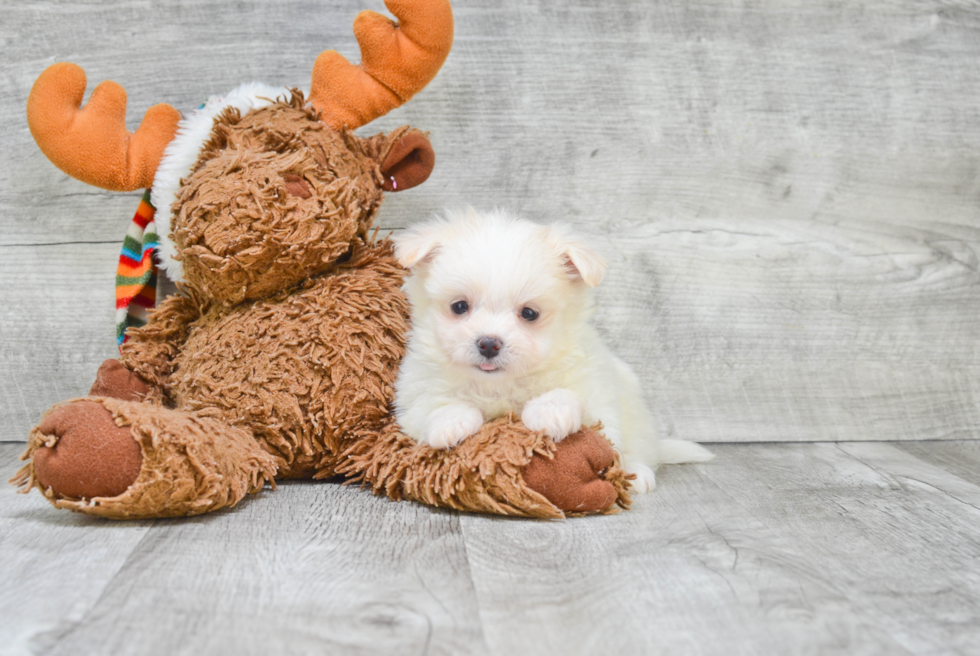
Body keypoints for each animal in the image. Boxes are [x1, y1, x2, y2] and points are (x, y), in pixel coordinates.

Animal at [390, 208, 712, 490]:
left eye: (529, 313)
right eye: (459, 307)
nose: (489, 344)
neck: (499, 385)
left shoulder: (595, 387)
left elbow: (579, 402)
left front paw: (550, 411)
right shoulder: (413, 396)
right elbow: (431, 405)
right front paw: (451, 421)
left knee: (636, 449)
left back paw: (637, 472)